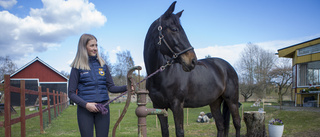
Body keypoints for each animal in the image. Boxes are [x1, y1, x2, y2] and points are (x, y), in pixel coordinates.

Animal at [144, 1, 240, 137]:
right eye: (174, 29)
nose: (193, 61)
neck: (163, 75)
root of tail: (228, 67)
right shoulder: (159, 107)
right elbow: (164, 131)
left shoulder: (177, 105)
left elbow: (180, 132)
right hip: (215, 102)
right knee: (220, 125)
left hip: (232, 101)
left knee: (237, 123)